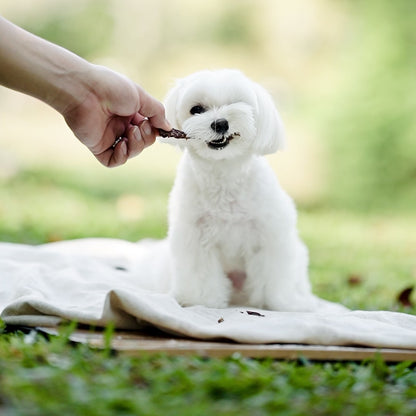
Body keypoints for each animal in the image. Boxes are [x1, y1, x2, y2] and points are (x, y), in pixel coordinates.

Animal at [161, 70, 346, 312]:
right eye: (197, 109)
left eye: (237, 104)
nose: (220, 123)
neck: (225, 173)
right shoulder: (194, 236)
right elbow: (200, 273)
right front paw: (201, 301)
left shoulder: (270, 234)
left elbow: (274, 274)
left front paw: (280, 303)